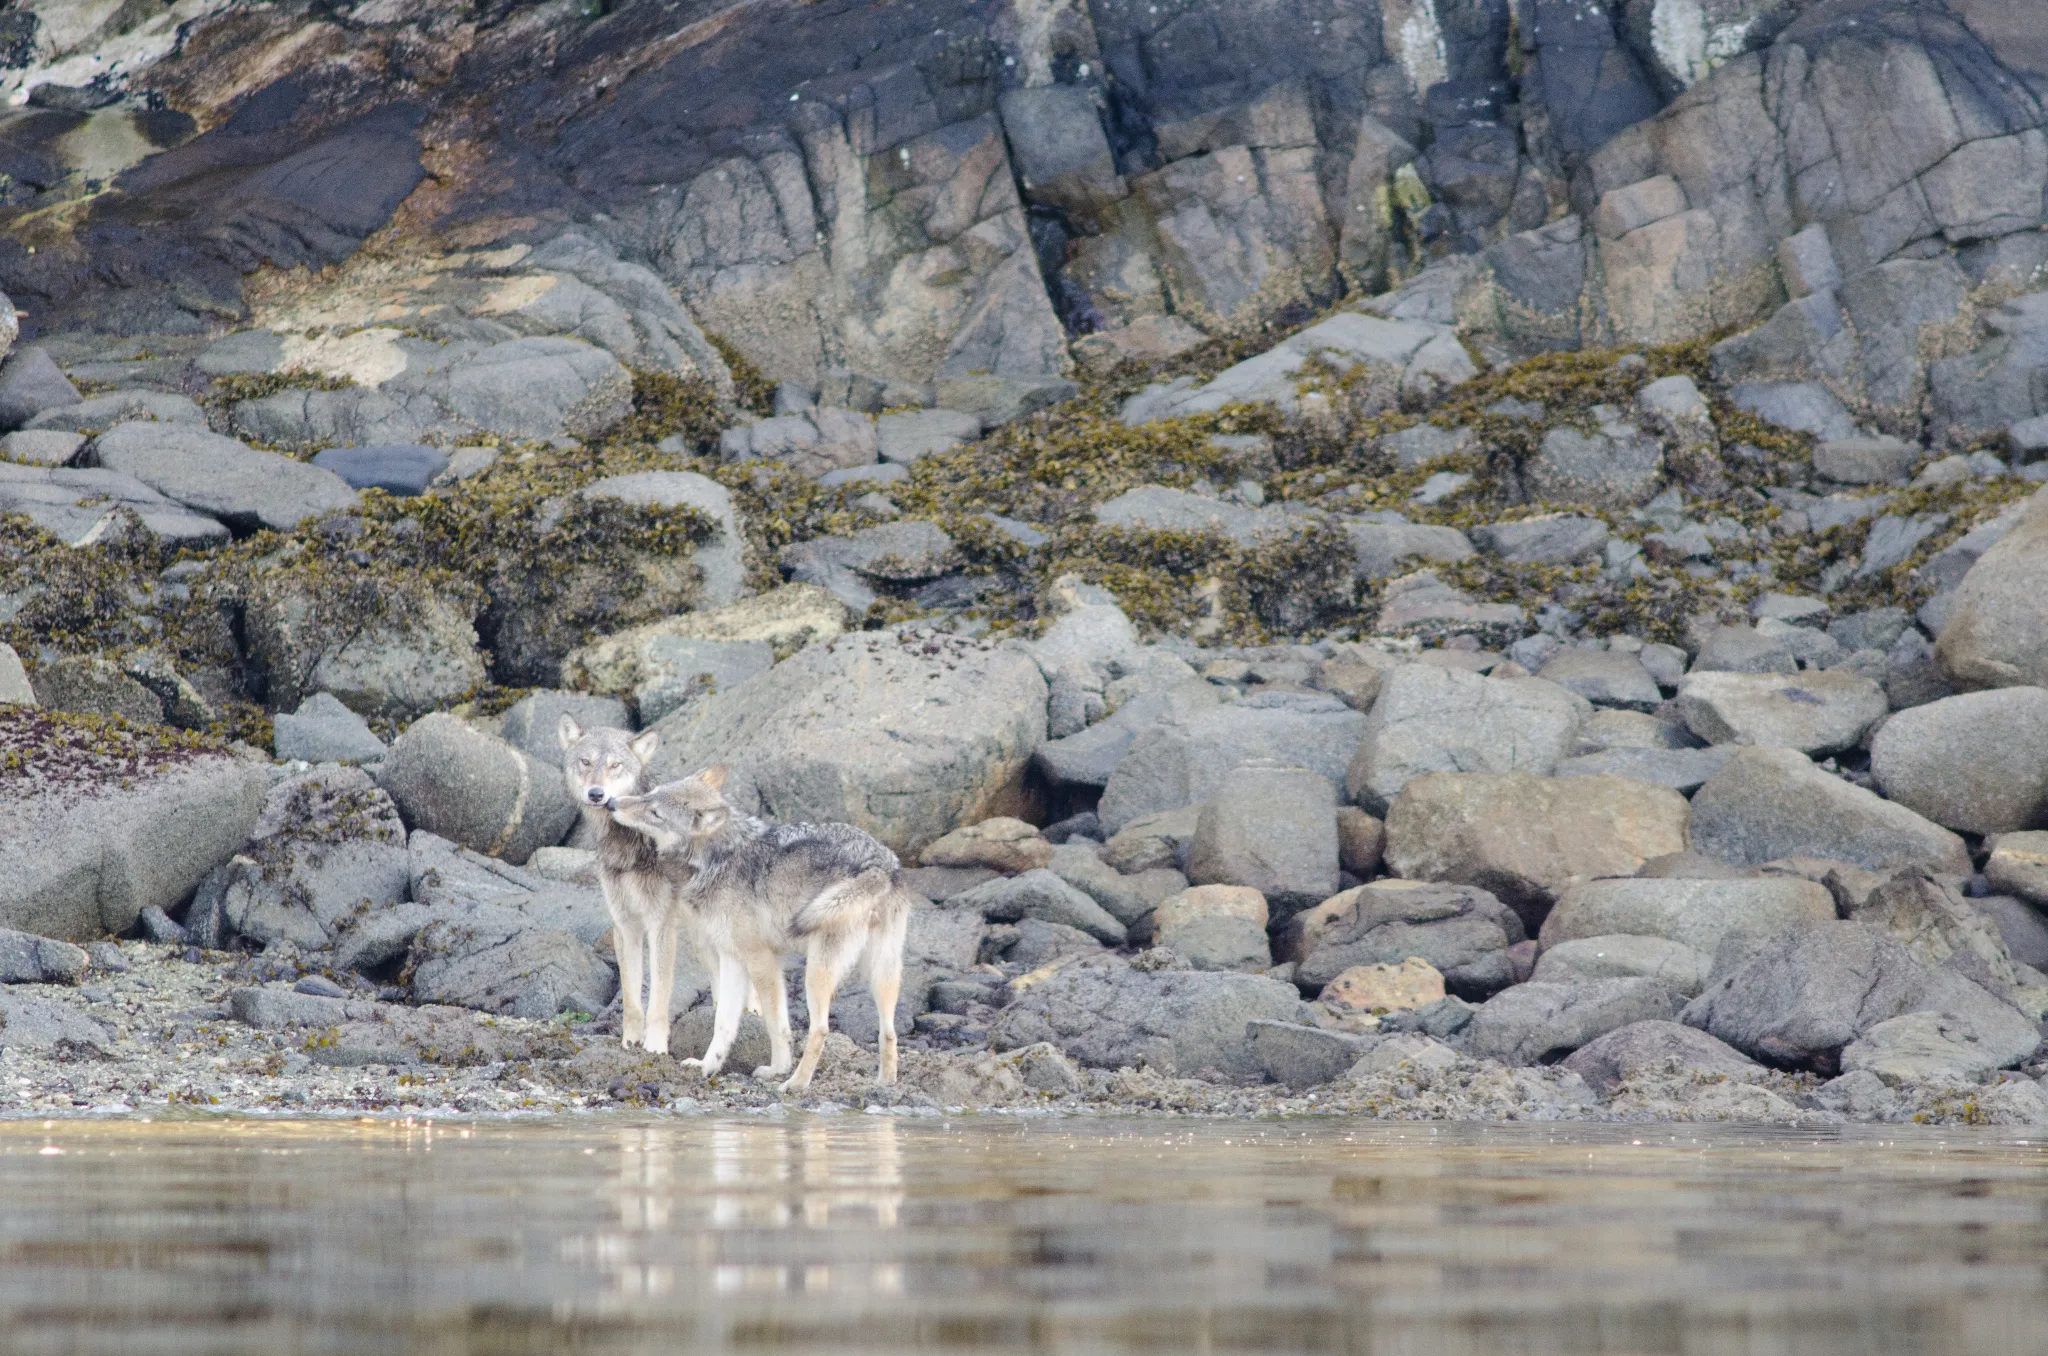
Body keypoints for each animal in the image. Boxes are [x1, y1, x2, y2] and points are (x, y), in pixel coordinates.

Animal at [607, 764, 912, 1092]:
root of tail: (879, 864)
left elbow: (775, 1025)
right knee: (889, 1032)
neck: (718, 859)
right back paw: (885, 1084)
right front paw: (707, 1066)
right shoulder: (731, 958)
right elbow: (724, 1022)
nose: (611, 803)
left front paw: (778, 1069)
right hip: (881, 975)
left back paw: (796, 1083)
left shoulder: (761, 959)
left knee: (820, 1029)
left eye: (655, 812)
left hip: (817, 973)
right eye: (649, 794)